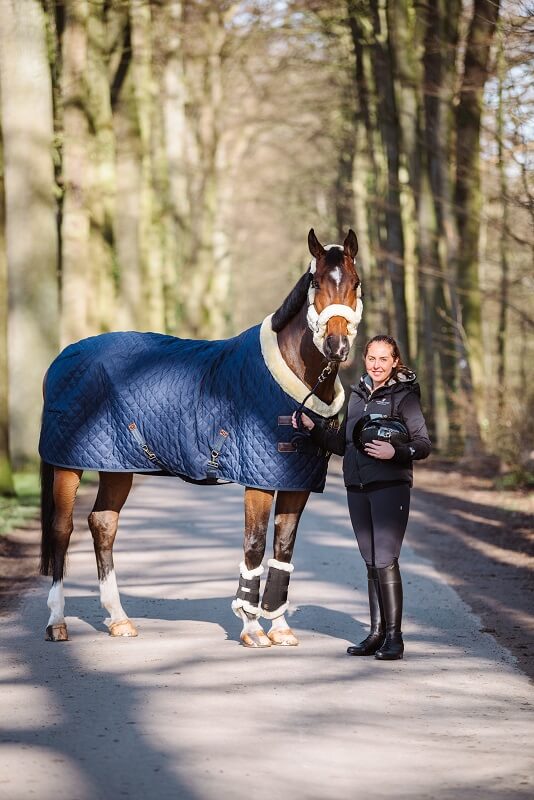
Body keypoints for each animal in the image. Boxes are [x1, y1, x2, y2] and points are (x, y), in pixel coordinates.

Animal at [38, 228, 364, 648]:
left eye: (355, 282)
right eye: (317, 283)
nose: (337, 346)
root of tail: (62, 358)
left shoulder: (296, 481)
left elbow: (283, 548)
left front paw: (280, 627)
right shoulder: (258, 482)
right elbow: (255, 545)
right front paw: (252, 628)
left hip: (116, 465)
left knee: (103, 524)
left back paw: (119, 620)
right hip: (69, 464)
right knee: (62, 530)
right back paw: (57, 622)